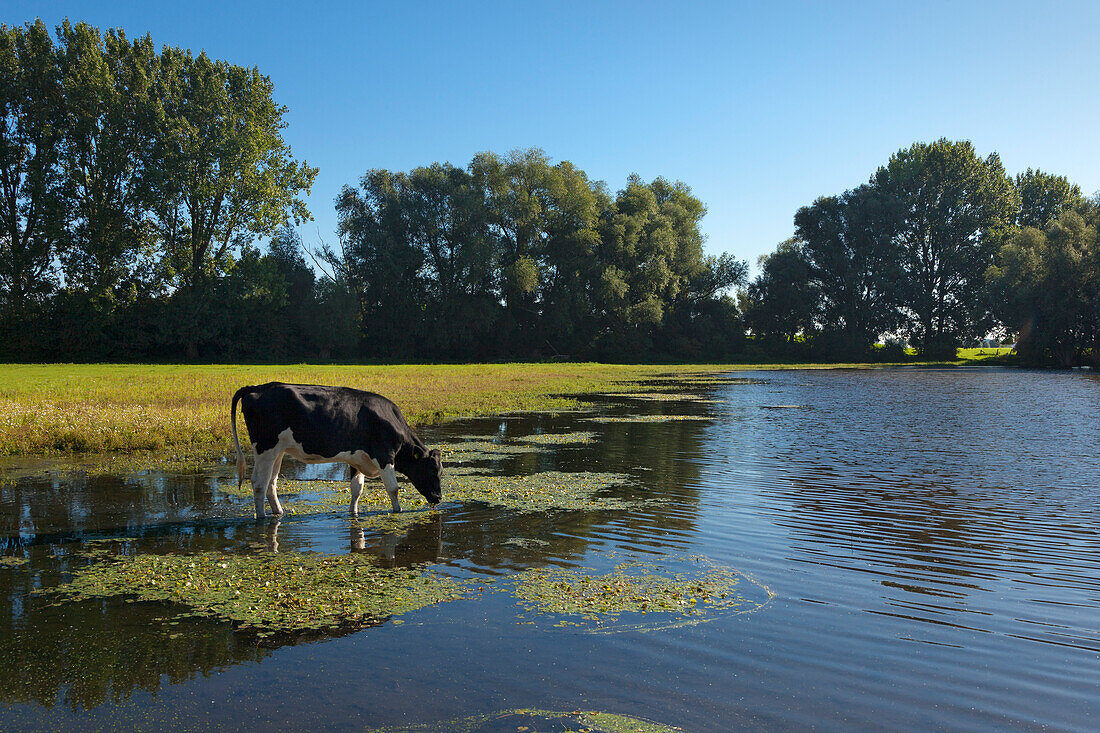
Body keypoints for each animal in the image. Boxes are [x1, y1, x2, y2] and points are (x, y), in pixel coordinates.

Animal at [231, 378, 442, 517]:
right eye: (432, 470)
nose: (438, 498)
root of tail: (257, 387)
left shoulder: (357, 458)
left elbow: (357, 489)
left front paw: (353, 513)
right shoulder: (384, 455)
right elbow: (393, 488)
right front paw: (398, 511)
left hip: (278, 452)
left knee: (271, 483)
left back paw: (279, 512)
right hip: (266, 449)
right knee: (259, 483)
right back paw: (261, 517)